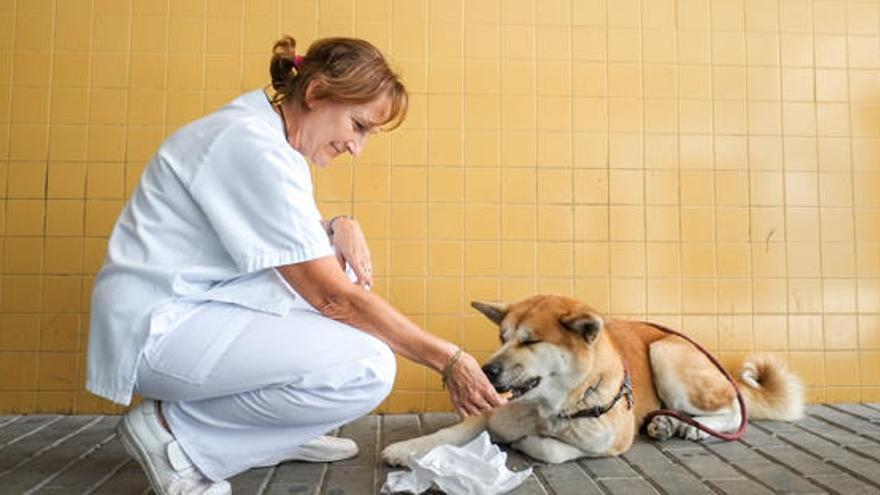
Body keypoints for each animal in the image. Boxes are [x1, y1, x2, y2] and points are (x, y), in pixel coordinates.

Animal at [384, 296, 804, 466]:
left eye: (530, 341)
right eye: (502, 337)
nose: (487, 371)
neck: (551, 407)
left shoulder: (609, 443)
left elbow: (549, 448)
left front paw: (524, 442)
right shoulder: (491, 413)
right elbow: (445, 434)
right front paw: (406, 449)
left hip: (666, 353)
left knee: (733, 408)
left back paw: (696, 428)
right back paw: (668, 424)